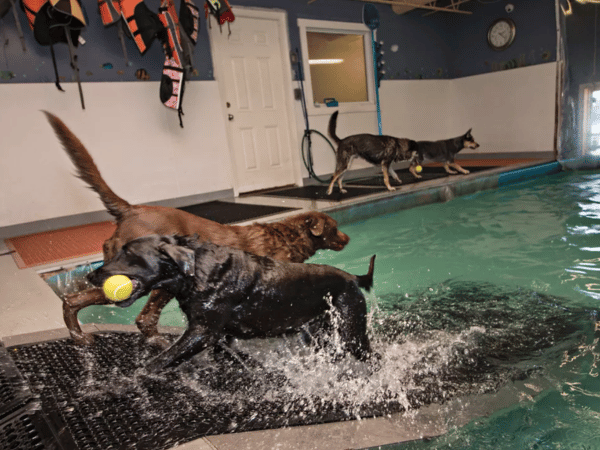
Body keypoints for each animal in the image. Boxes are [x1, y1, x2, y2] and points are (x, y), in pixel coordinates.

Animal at [44, 112, 350, 348]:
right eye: (335, 228)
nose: (346, 238)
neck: (285, 238)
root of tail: (131, 209)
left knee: (73, 300)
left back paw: (80, 338)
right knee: (142, 318)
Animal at [86, 234, 378, 370]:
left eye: (128, 253)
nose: (90, 275)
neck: (196, 271)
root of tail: (352, 277)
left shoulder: (202, 332)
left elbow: (160, 361)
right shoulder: (220, 337)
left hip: (352, 334)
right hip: (318, 336)